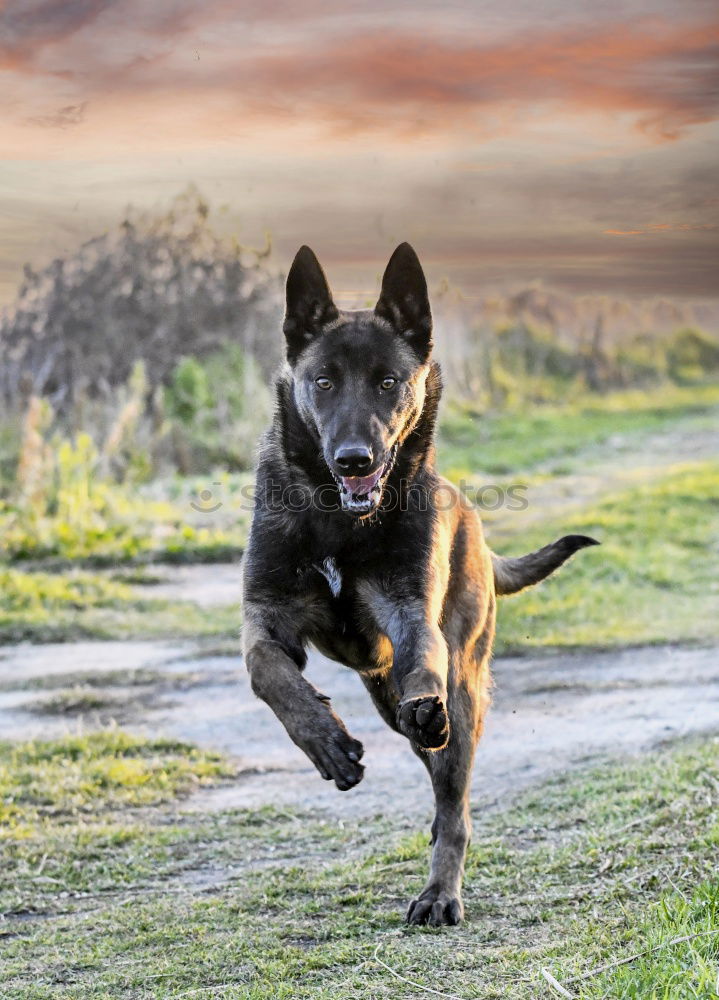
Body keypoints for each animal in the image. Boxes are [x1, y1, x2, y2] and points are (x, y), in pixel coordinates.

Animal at [242, 240, 596, 920]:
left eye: (388, 382)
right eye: (323, 382)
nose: (356, 458)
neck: (339, 518)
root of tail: (479, 532)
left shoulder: (410, 616)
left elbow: (422, 657)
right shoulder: (266, 620)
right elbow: (267, 673)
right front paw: (324, 742)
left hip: (461, 687)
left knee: (452, 800)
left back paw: (439, 892)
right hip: (384, 695)